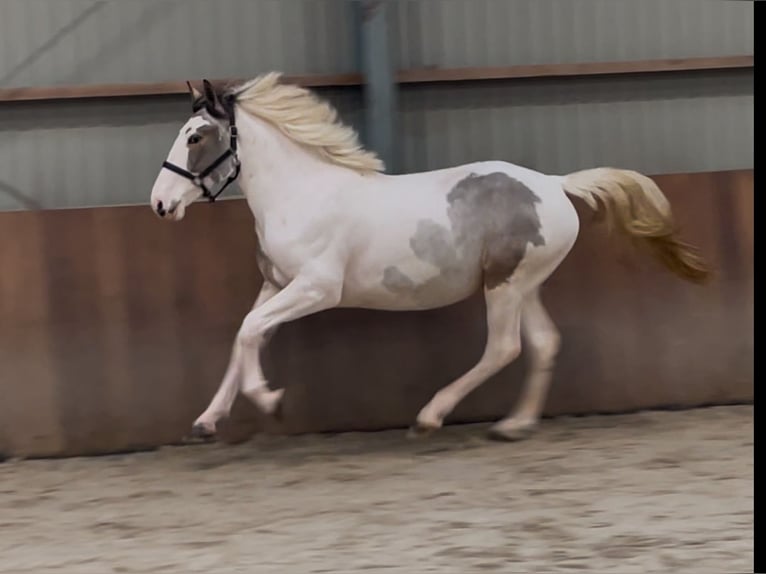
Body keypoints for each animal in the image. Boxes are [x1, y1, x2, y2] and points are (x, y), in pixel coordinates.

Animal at [150, 74, 712, 444]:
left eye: (196, 135)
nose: (160, 204)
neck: (302, 194)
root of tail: (554, 185)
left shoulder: (316, 288)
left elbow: (248, 332)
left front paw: (271, 400)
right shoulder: (276, 285)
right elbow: (244, 335)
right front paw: (206, 420)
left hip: (504, 285)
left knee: (504, 347)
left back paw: (430, 417)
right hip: (523, 283)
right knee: (543, 343)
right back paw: (514, 425)